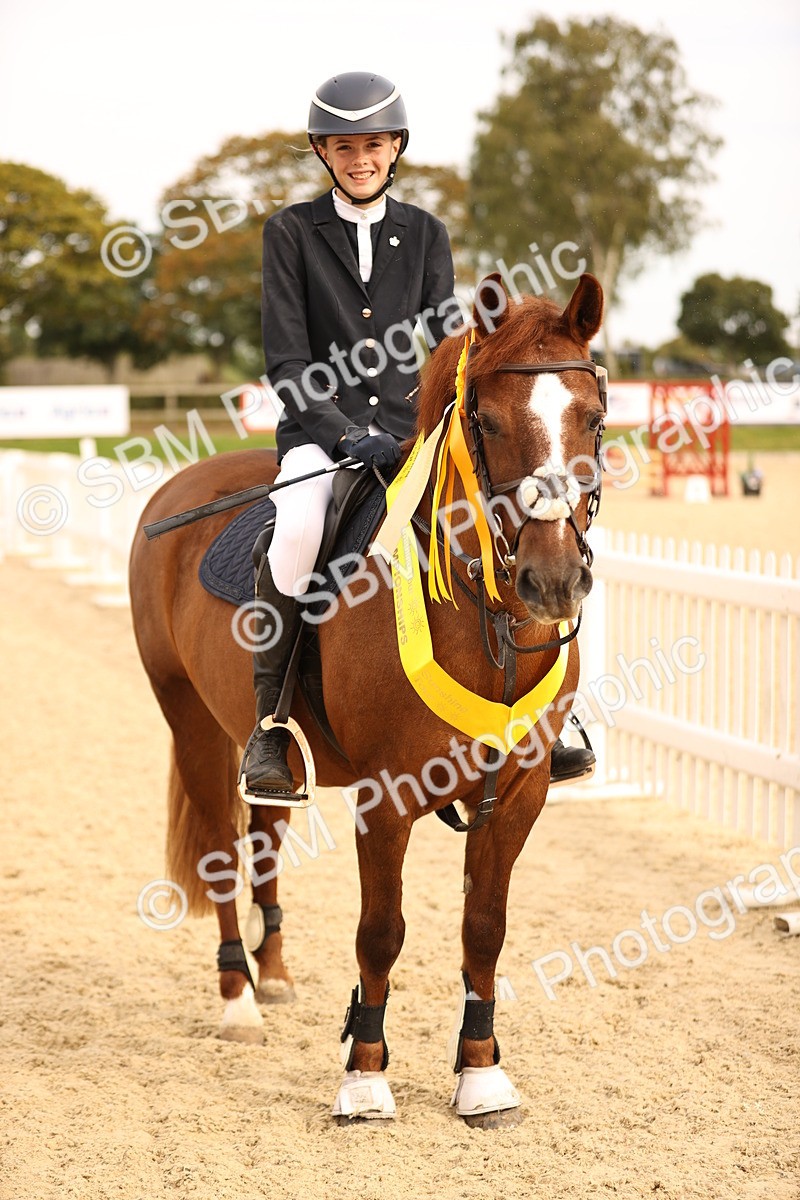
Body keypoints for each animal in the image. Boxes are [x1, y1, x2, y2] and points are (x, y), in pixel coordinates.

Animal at [129, 271, 605, 1126]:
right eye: (486, 421)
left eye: (592, 416)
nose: (551, 580)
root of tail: (179, 485)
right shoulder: (387, 797)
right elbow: (381, 932)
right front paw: (365, 1076)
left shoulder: (519, 794)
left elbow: (484, 929)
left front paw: (480, 1072)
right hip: (190, 721)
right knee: (221, 851)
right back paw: (237, 998)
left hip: (268, 746)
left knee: (266, 836)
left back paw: (274, 973)